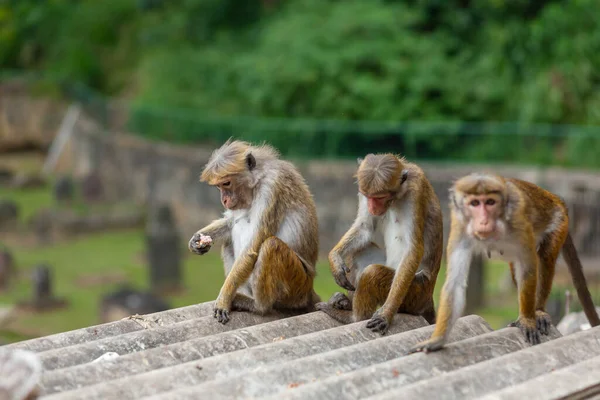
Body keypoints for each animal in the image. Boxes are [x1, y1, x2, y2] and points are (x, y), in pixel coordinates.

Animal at [189, 139, 322, 324]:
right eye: (219, 186)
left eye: (226, 183)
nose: (224, 200)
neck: (258, 179)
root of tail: (309, 291)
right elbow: (230, 223)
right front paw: (197, 241)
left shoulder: (271, 188)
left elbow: (252, 247)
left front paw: (223, 299)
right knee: (229, 240)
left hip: (297, 287)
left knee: (270, 246)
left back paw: (259, 306)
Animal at [316, 153, 442, 334]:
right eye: (368, 196)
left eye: (380, 197)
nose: (372, 207)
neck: (398, 195)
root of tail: (428, 298)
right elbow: (365, 227)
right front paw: (334, 260)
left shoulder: (416, 192)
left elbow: (413, 249)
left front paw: (386, 314)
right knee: (359, 251)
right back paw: (345, 303)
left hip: (414, 292)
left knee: (373, 272)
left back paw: (353, 318)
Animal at [408, 173, 600, 354]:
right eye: (474, 203)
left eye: (490, 202)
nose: (483, 220)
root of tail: (558, 199)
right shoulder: (461, 226)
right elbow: (455, 283)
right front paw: (437, 340)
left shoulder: (518, 219)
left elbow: (529, 269)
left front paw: (527, 320)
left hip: (559, 220)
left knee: (544, 257)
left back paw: (537, 311)